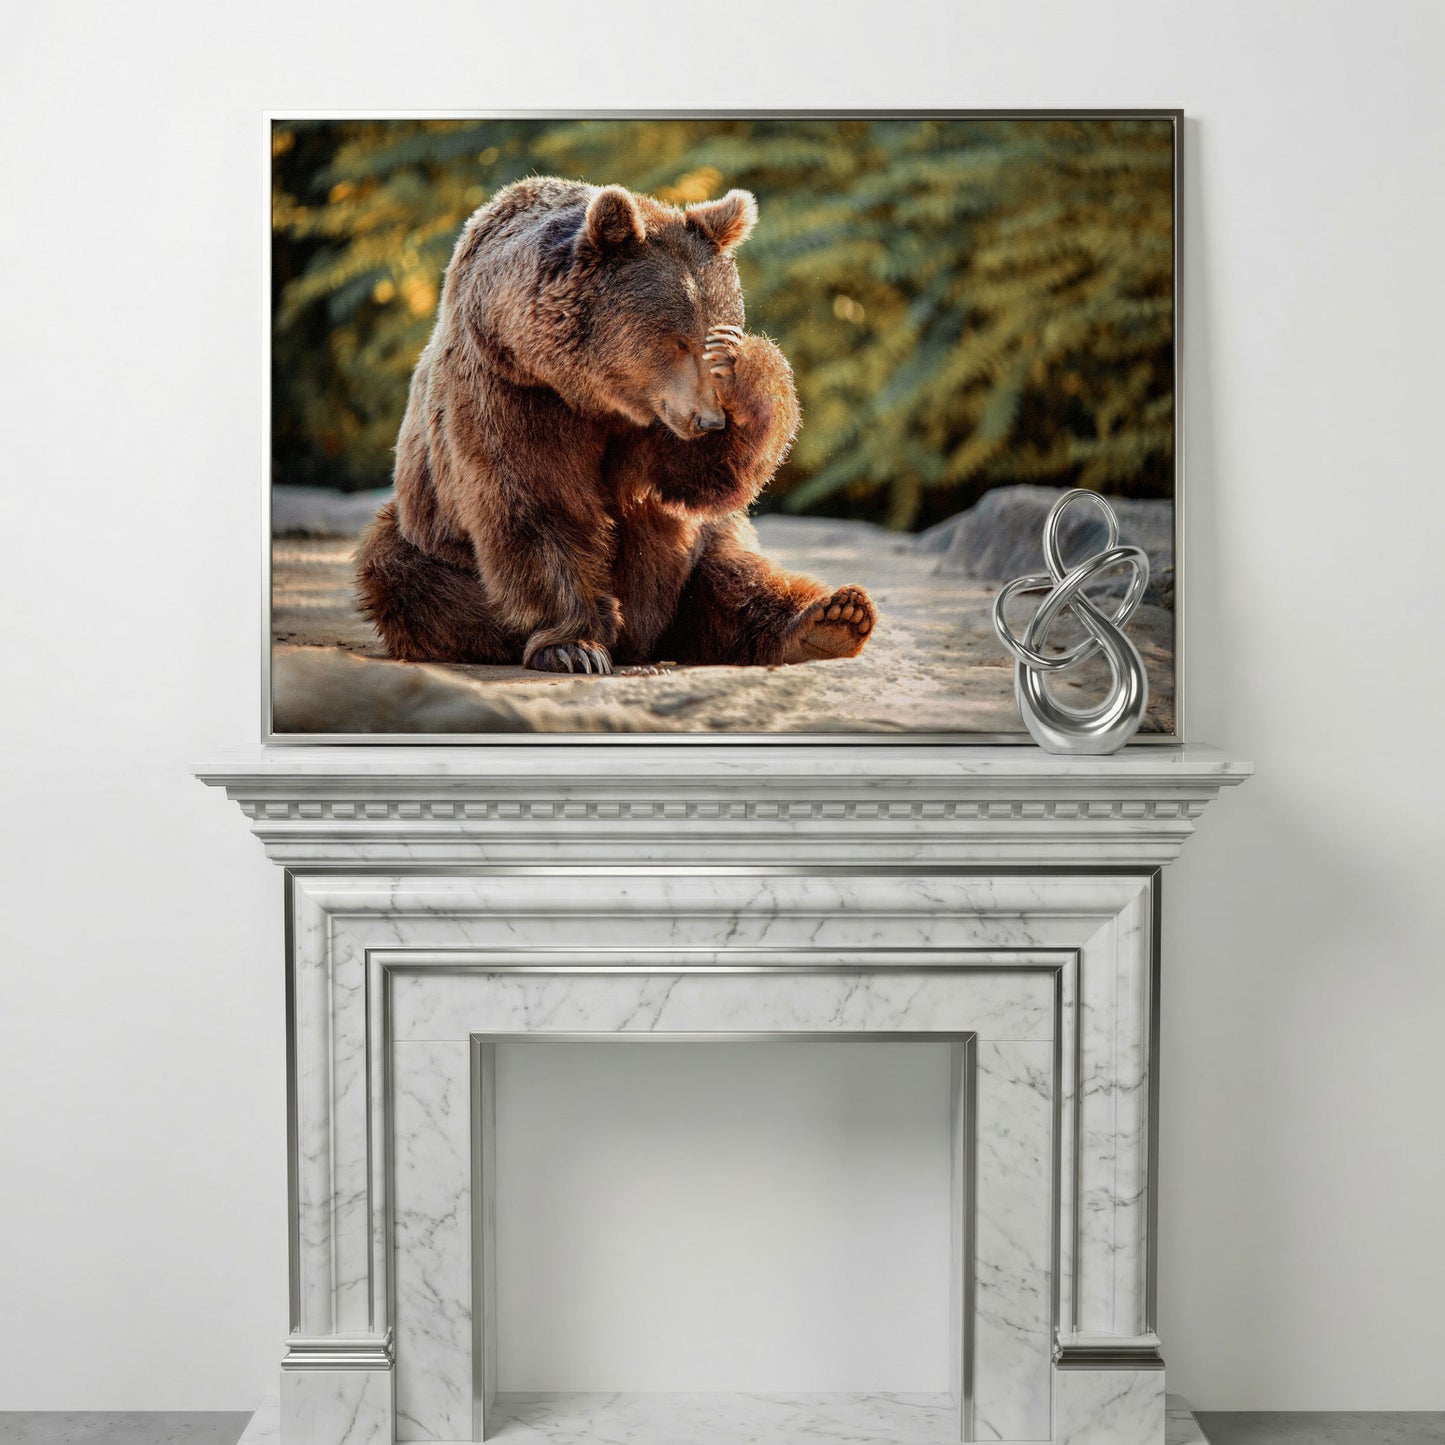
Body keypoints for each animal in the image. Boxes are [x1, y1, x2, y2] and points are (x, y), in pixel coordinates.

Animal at [354, 176, 876, 676]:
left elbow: (701, 479)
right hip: (430, 537)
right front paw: (575, 647)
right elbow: (539, 506)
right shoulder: (510, 391)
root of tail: (652, 643)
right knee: (404, 574)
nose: (710, 420)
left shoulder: (651, 423)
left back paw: (831, 619)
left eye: (718, 327)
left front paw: (741, 363)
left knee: (734, 574)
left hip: (705, 550)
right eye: (676, 340)